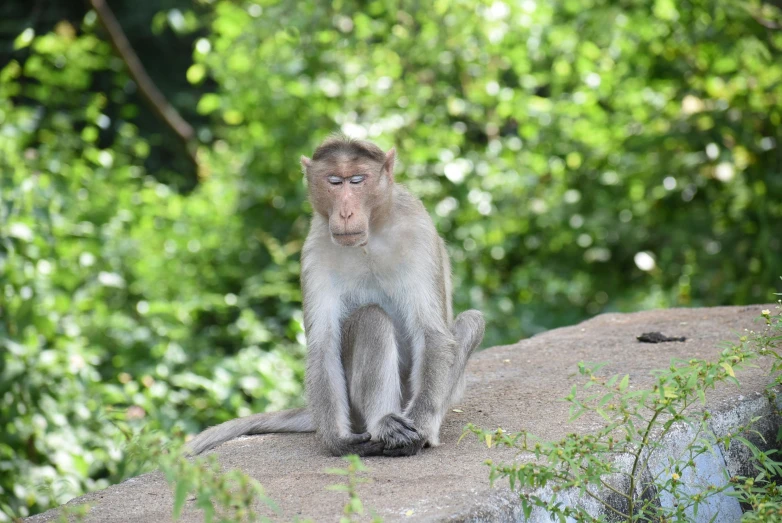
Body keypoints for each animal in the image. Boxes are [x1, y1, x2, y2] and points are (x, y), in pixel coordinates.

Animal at [188, 136, 486, 458]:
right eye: (333, 181)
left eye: (356, 180)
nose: (344, 213)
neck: (370, 238)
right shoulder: (315, 249)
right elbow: (323, 343)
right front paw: (337, 440)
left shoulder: (417, 229)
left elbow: (431, 332)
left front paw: (420, 427)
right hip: (354, 410)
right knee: (371, 318)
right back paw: (383, 424)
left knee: (471, 321)